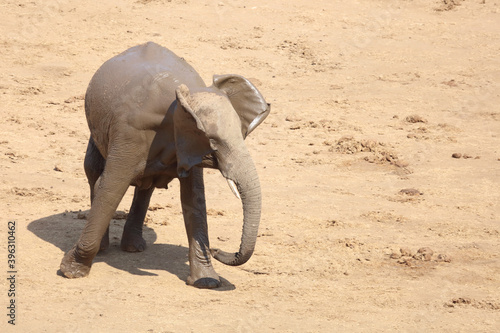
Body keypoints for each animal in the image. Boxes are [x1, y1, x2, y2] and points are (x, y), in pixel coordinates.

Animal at [60, 41, 272, 286]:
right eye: (212, 141)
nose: (218, 250)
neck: (179, 103)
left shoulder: (186, 147)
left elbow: (194, 199)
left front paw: (206, 282)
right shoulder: (129, 133)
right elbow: (111, 188)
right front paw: (71, 271)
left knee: (146, 185)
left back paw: (134, 247)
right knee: (94, 170)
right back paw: (105, 248)